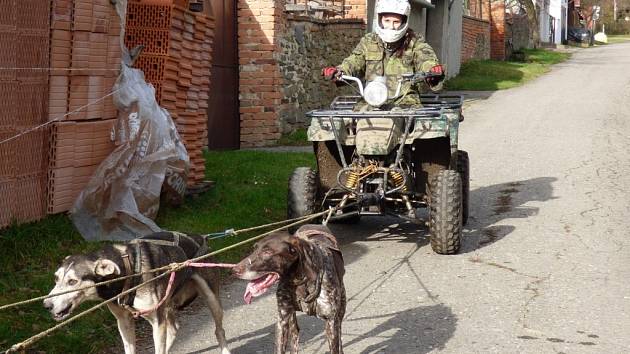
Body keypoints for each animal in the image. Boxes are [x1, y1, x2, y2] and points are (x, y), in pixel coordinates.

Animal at [43, 231, 232, 354]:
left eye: (72, 281)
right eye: (56, 279)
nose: (46, 304)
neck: (129, 270)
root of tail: (200, 238)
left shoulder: (157, 321)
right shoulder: (124, 321)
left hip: (211, 299)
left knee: (219, 330)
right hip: (166, 305)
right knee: (174, 329)